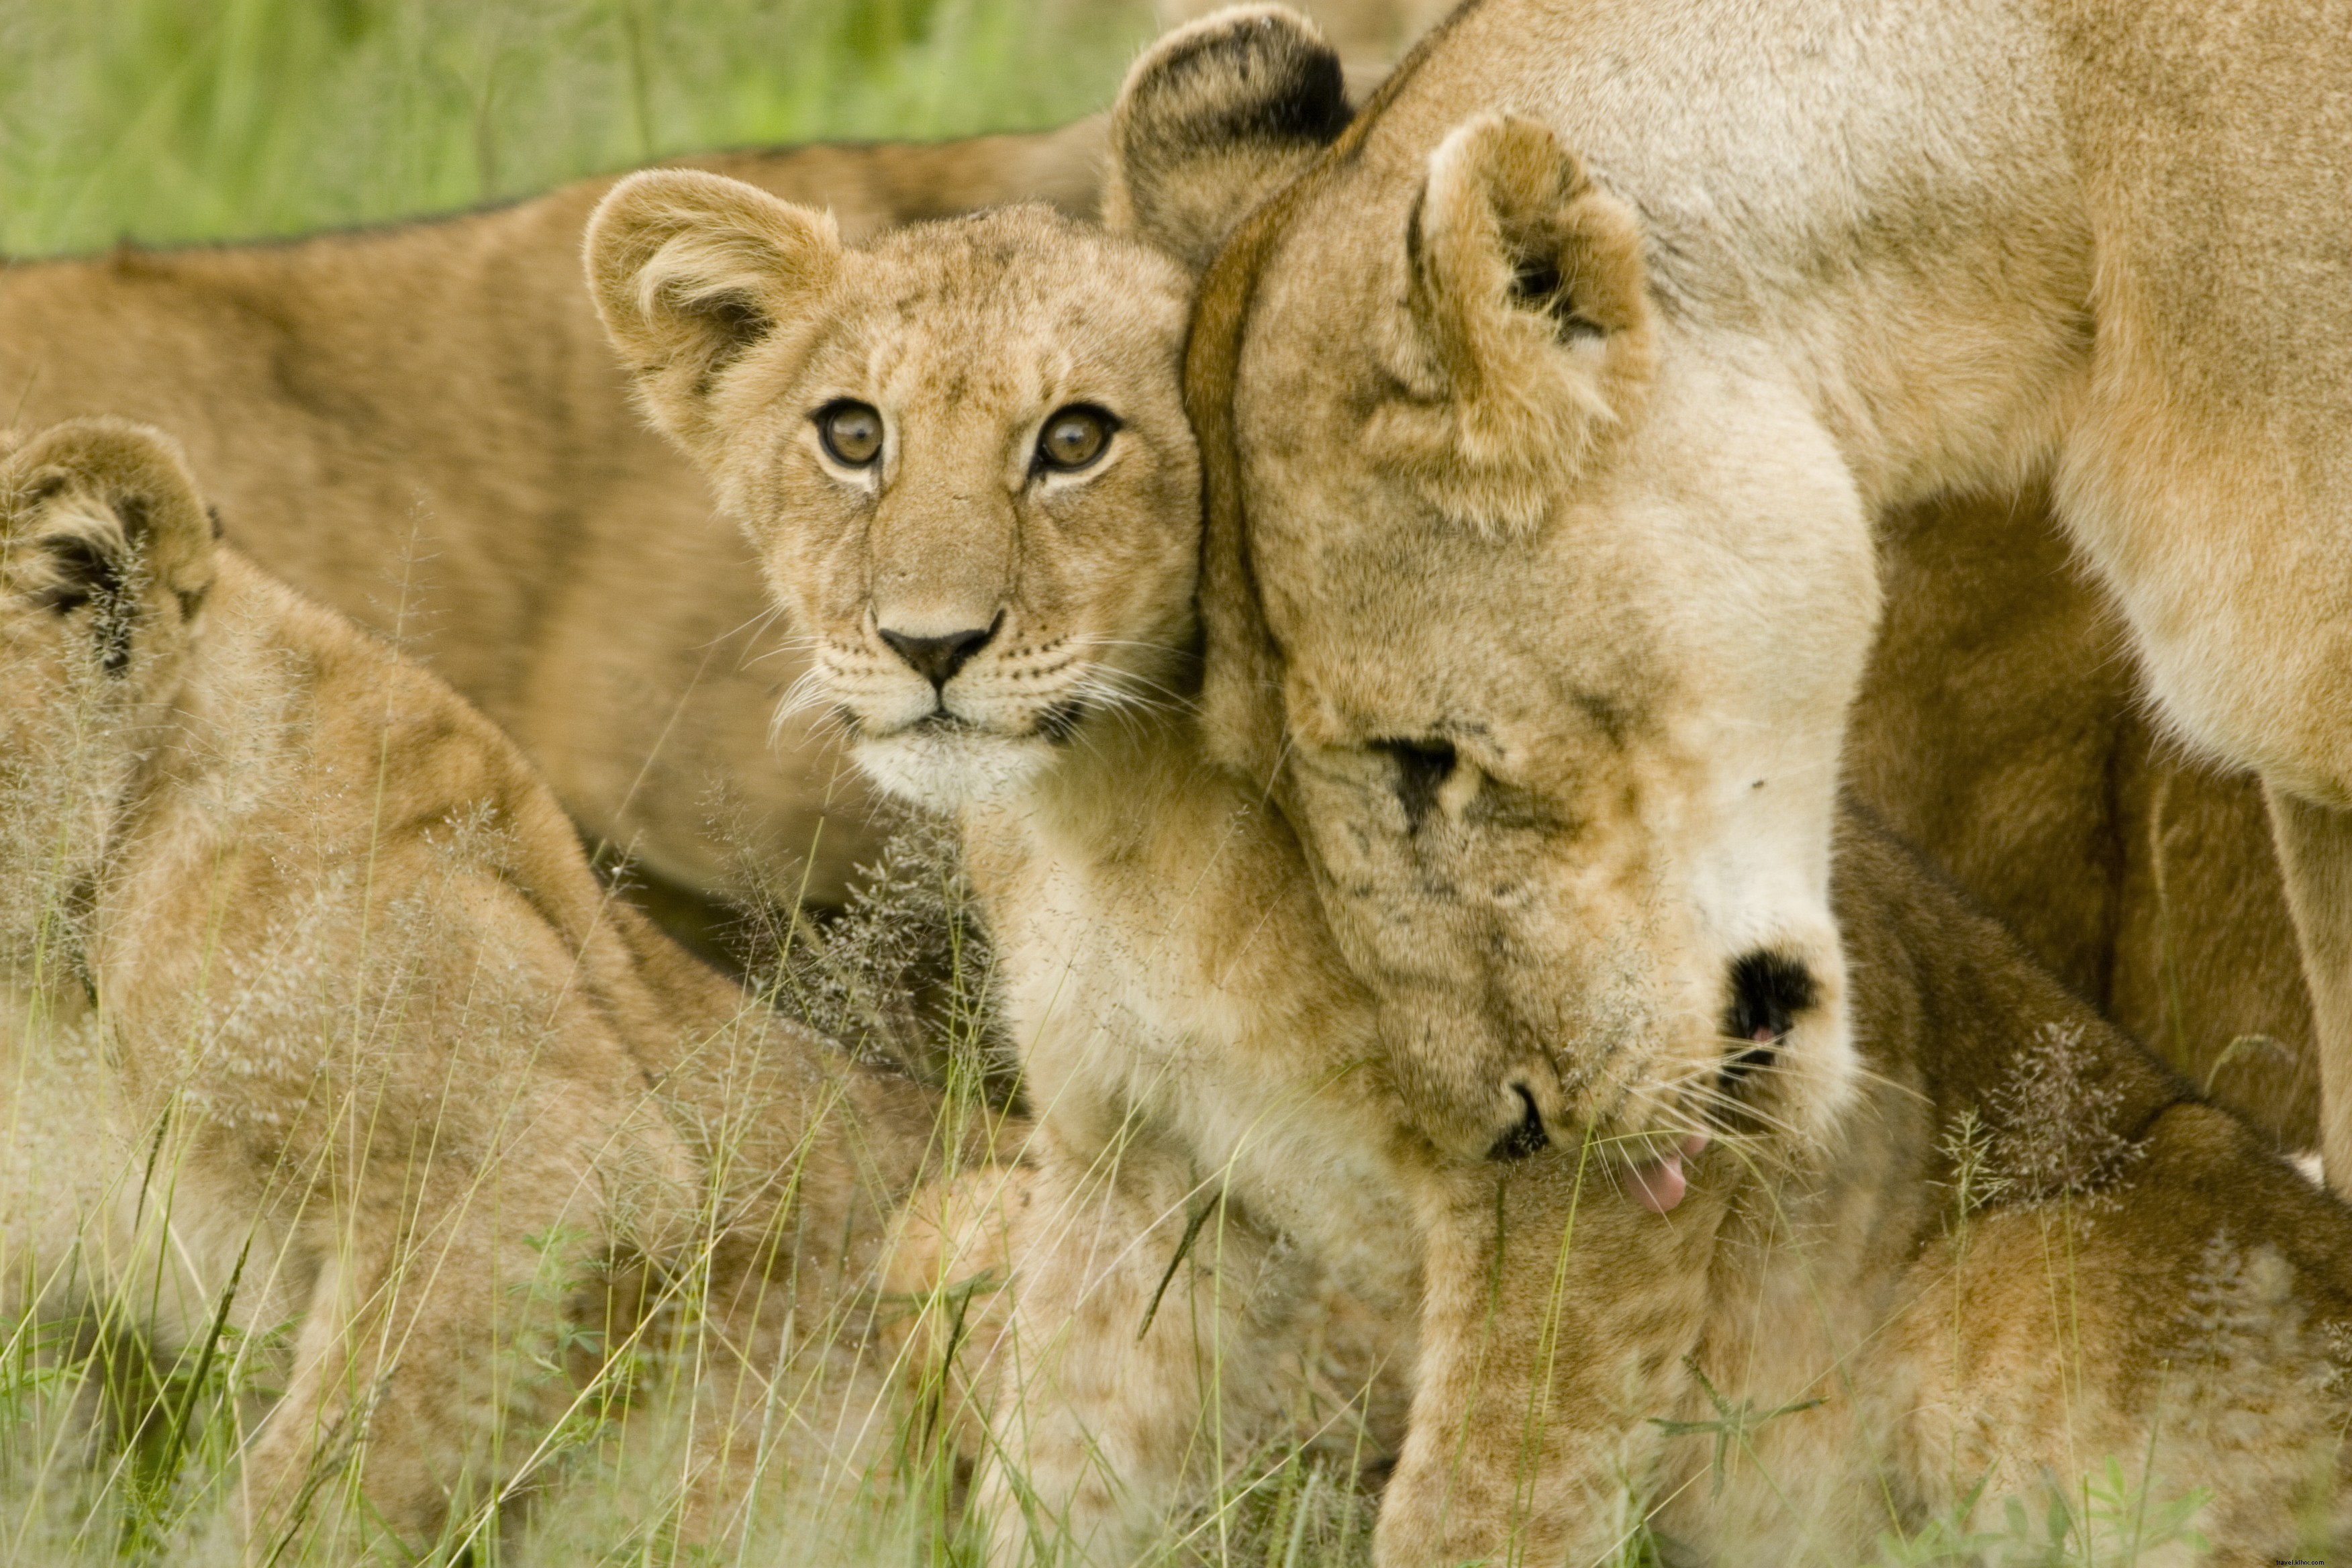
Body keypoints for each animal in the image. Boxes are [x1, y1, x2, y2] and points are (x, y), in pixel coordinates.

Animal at [584, 146, 2352, 1564]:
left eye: (1075, 440)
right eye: (850, 433)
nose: (928, 645)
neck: (1119, 820)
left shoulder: (1585, 1155)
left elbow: (1477, 1501)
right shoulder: (1125, 1160)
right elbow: (1068, 1463)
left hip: (2029, 1266)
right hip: (957, 1217)